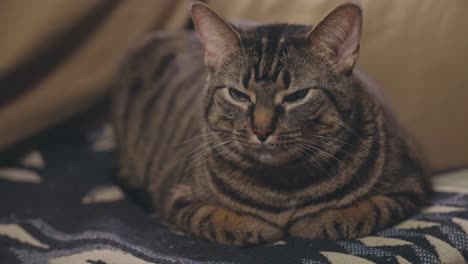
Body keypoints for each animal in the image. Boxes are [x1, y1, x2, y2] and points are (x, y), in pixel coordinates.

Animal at [112, 2, 432, 246]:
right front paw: (257, 226)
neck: (283, 188)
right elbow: (214, 217)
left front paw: (318, 221)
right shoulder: (176, 196)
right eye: (238, 95)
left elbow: (363, 210)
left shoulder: (410, 185)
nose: (262, 130)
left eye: (298, 96)